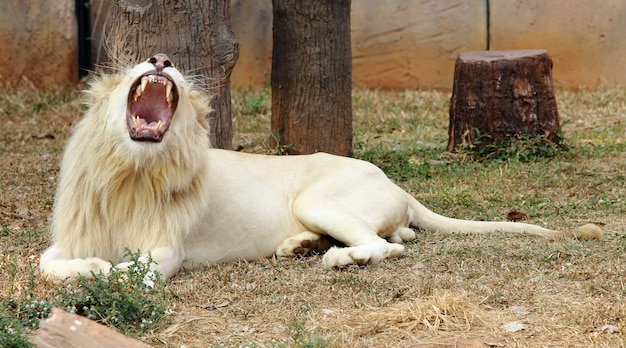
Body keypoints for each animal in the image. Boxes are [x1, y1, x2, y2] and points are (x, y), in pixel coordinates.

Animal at [39, 55, 600, 282]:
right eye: (138, 63)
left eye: (168, 63)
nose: (160, 59)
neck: (129, 172)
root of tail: (396, 183)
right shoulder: (71, 235)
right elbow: (46, 264)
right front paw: (87, 265)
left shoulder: (166, 251)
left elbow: (129, 272)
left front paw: (100, 270)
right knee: (397, 236)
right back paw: (300, 247)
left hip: (317, 198)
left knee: (388, 246)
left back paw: (338, 258)